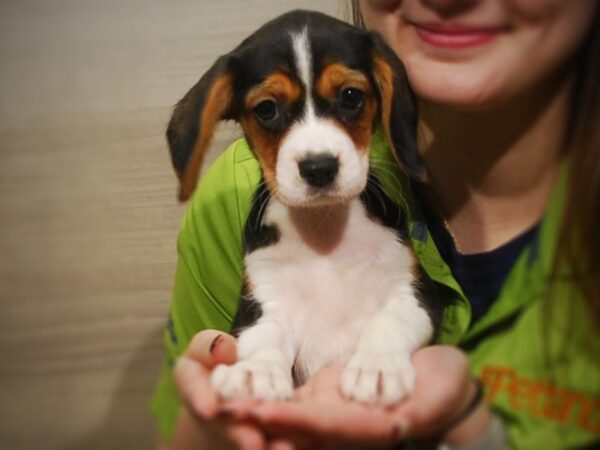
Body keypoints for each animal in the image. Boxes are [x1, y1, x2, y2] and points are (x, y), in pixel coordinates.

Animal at [166, 10, 442, 404]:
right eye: (267, 109)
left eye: (351, 96)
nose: (319, 167)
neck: (324, 231)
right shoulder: (261, 307)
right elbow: (263, 341)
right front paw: (255, 373)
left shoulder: (414, 293)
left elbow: (387, 323)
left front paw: (376, 368)